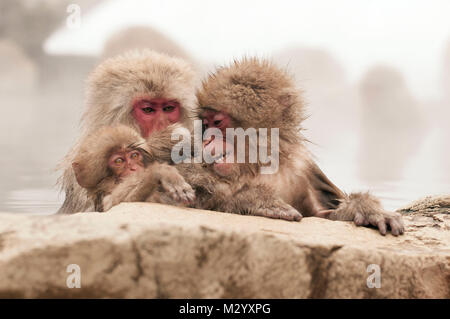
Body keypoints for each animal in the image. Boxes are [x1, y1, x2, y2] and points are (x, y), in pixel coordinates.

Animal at [195, 58, 406, 236]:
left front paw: (367, 210)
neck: (260, 163)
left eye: (217, 122)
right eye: (205, 124)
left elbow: (325, 216)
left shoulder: (303, 167)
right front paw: (258, 200)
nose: (206, 140)